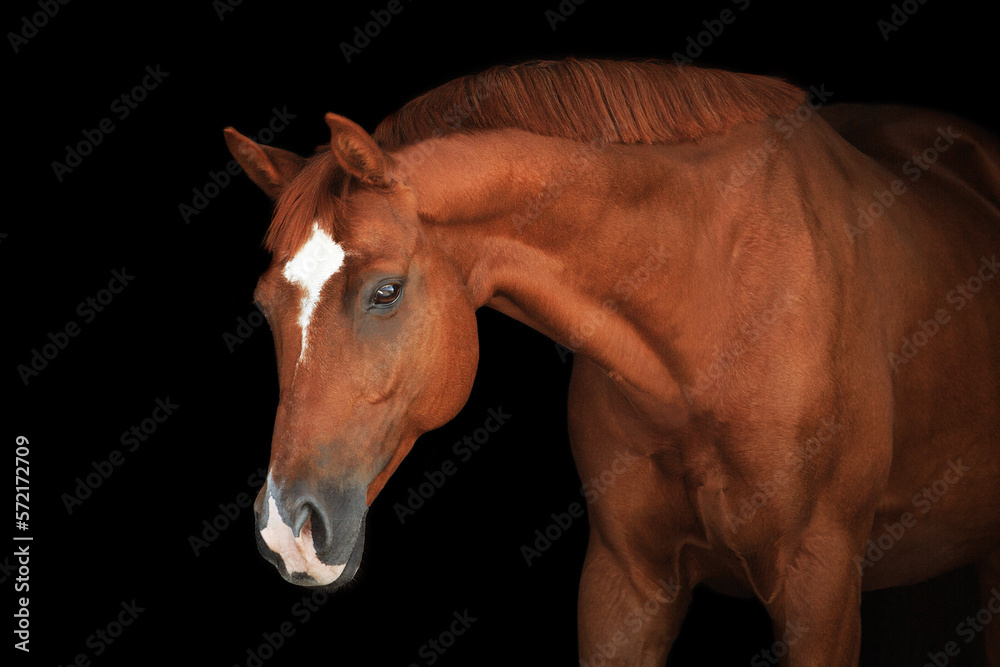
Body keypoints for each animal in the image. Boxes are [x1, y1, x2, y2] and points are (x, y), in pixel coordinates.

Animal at [224, 59, 1000, 665]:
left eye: (385, 291)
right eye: (264, 306)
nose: (287, 531)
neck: (712, 322)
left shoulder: (821, 586)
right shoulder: (624, 582)